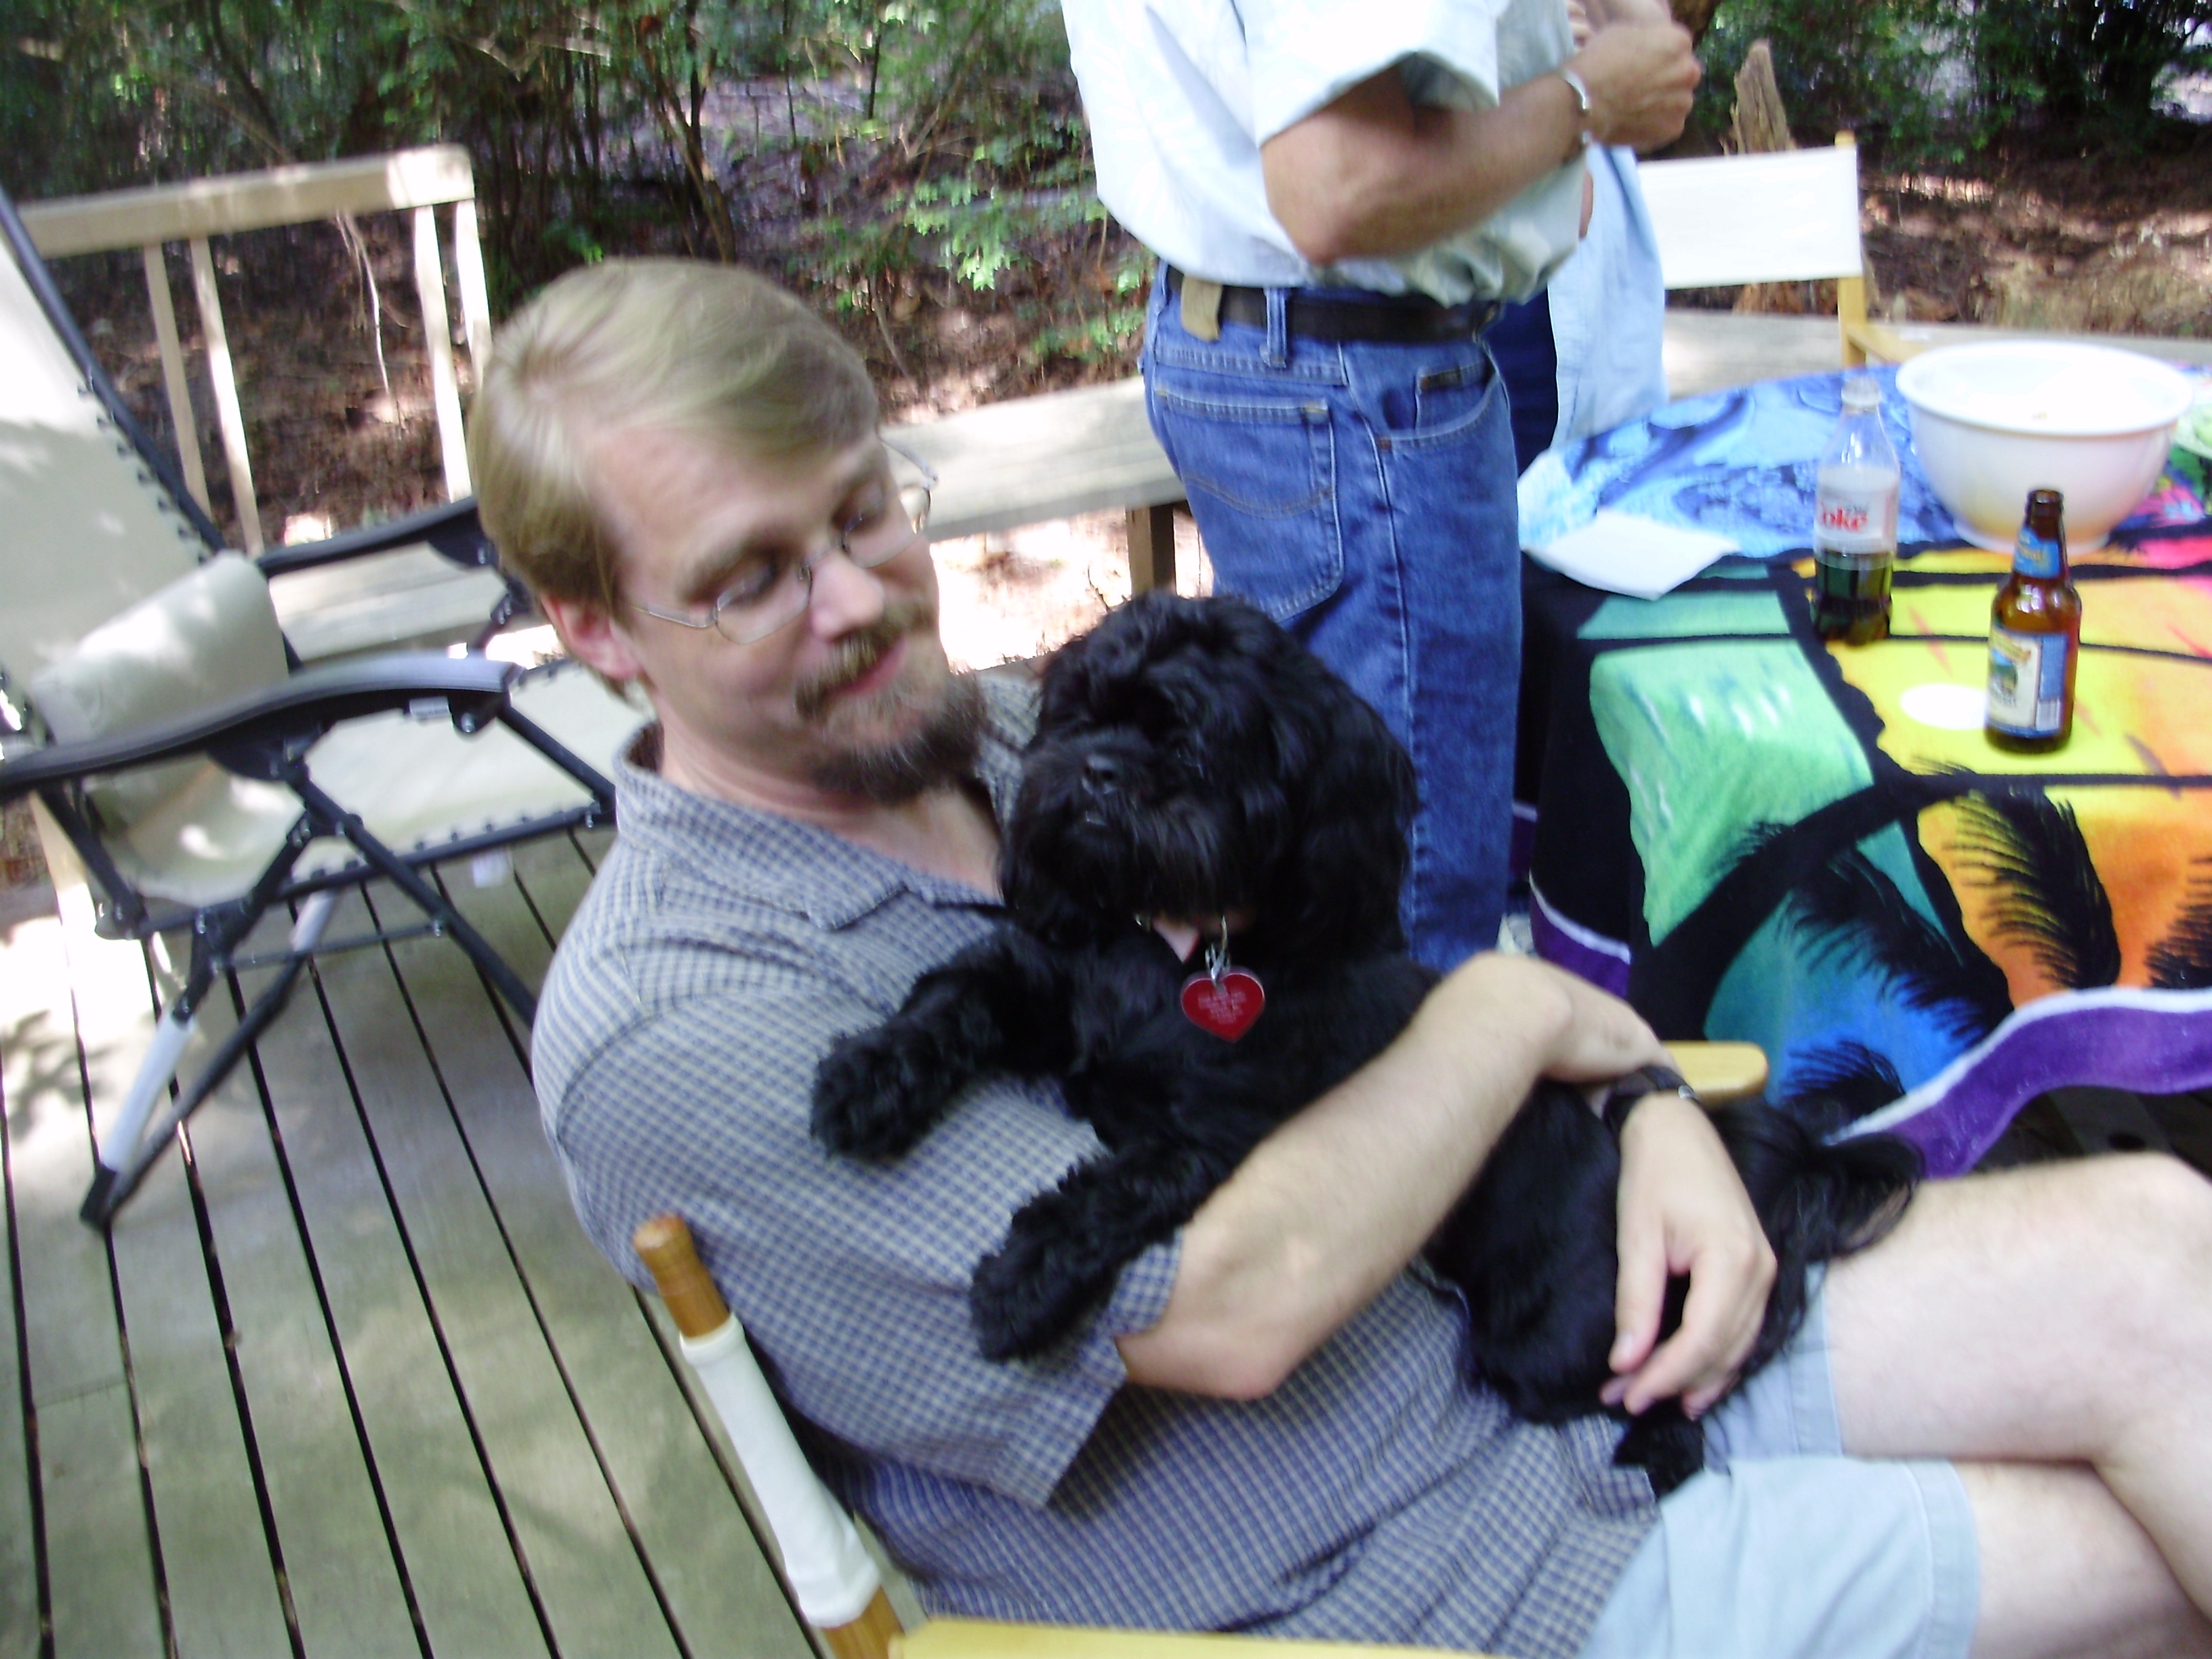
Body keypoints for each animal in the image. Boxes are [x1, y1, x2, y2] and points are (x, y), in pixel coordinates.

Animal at [812, 590, 1920, 1492]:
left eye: (1195, 743)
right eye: (1077, 714)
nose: (1096, 769)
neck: (1177, 950)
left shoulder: (1216, 1136)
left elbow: (1109, 1193)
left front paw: (1026, 1279)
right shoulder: (1047, 983)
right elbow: (957, 997)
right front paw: (868, 1078)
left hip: (1557, 1340)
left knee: (1665, 1401)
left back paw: (1653, 1449)